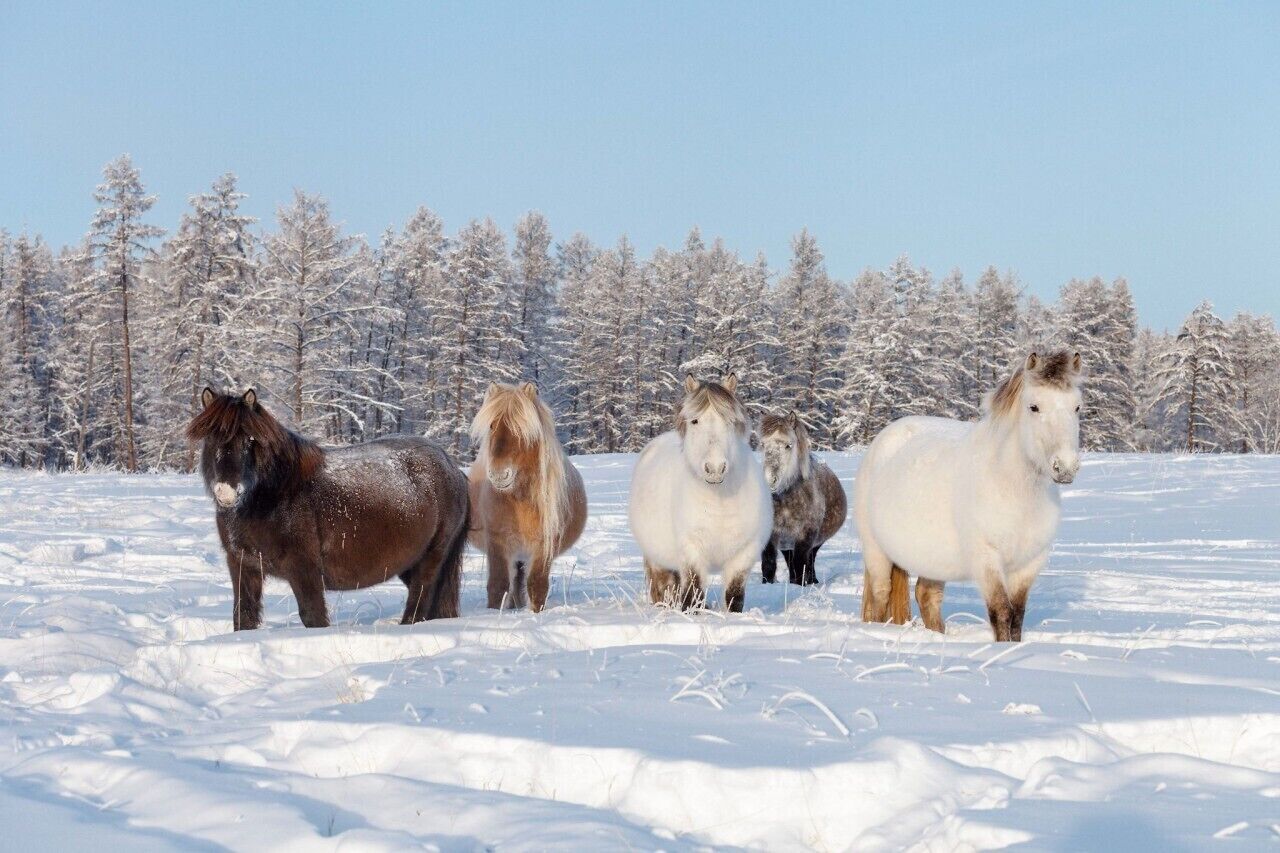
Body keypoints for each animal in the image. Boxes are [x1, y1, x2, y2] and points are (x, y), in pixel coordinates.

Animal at [185, 389, 471, 627]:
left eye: (250, 440)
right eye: (211, 440)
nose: (227, 492)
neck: (275, 496)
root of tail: (451, 467)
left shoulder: (305, 571)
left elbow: (313, 617)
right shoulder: (244, 566)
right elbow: (243, 617)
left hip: (432, 556)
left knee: (419, 599)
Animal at [471, 379, 588, 612]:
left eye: (521, 429)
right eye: (491, 426)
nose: (499, 474)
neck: (520, 502)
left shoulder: (543, 544)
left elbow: (537, 586)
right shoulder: (497, 541)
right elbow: (498, 586)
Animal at [629, 373, 768, 612]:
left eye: (730, 421)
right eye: (695, 421)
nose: (715, 468)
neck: (720, 503)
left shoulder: (743, 555)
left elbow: (734, 597)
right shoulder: (692, 552)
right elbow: (692, 595)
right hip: (659, 561)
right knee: (664, 592)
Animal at [757, 412, 849, 584]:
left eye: (788, 445)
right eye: (763, 444)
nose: (769, 480)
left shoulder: (805, 536)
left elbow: (801, 566)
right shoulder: (771, 536)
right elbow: (769, 565)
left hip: (814, 542)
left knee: (810, 561)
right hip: (787, 544)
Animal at [855, 350, 1085, 637]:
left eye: (1077, 407)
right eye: (1034, 407)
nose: (1064, 467)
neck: (1014, 491)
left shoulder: (1029, 564)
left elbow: (1018, 616)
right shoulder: (986, 560)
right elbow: (1002, 613)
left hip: (933, 559)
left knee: (927, 596)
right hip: (876, 551)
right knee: (880, 597)